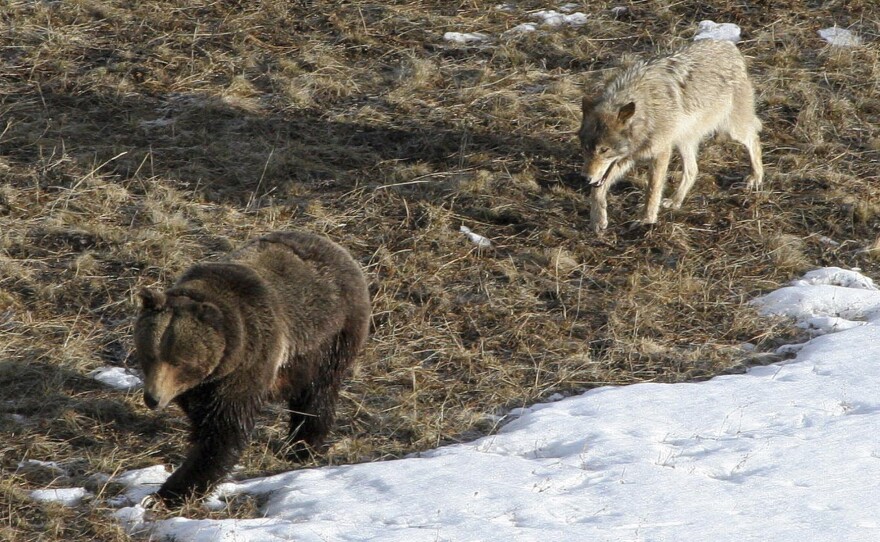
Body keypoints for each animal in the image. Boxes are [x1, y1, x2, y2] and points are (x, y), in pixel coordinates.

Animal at [132, 230, 370, 506]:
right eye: (149, 354)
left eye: (179, 361)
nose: (153, 398)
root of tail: (337, 248)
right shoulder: (202, 386)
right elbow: (203, 418)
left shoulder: (250, 361)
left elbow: (225, 430)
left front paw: (170, 491)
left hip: (329, 338)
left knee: (316, 394)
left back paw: (301, 446)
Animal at [576, 39, 764, 232]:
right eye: (586, 148)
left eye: (604, 150)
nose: (584, 178)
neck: (646, 113)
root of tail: (729, 45)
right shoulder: (625, 159)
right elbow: (597, 190)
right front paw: (598, 219)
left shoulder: (661, 153)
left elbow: (652, 190)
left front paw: (646, 220)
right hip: (683, 141)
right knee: (693, 170)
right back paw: (675, 201)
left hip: (731, 129)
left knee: (754, 139)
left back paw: (756, 177)